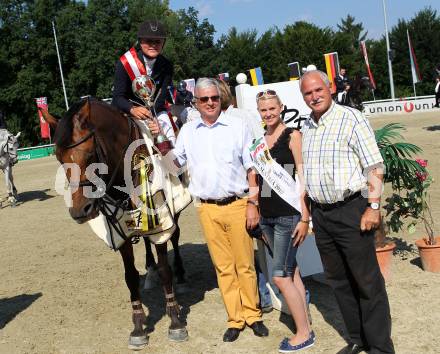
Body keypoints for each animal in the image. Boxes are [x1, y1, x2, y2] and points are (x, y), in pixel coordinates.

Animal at [42, 98, 190, 350]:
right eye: (59, 158)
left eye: (89, 154)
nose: (80, 211)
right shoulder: (120, 230)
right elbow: (130, 276)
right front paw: (138, 327)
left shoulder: (161, 220)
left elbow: (165, 270)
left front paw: (175, 320)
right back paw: (149, 271)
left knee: (176, 236)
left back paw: (180, 275)